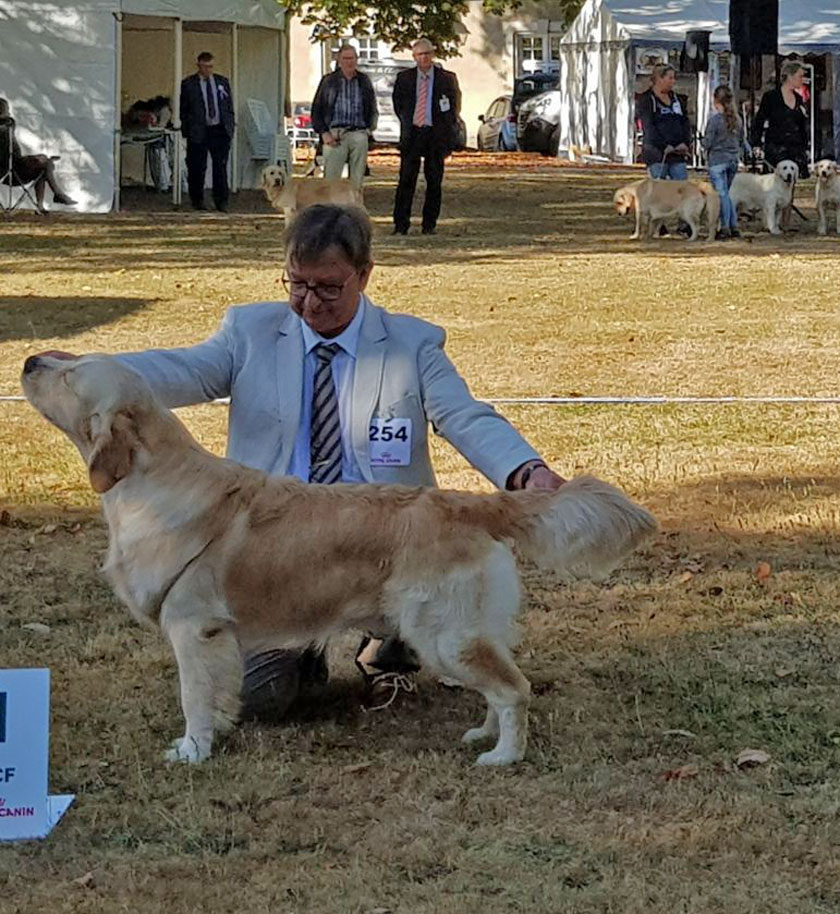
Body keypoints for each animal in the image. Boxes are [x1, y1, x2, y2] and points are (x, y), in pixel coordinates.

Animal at [21, 352, 656, 764]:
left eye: (70, 373)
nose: (28, 360)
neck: (150, 482)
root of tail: (472, 502)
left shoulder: (193, 626)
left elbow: (193, 697)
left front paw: (192, 750)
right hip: (463, 632)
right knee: (498, 687)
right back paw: (484, 735)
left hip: (443, 633)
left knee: (514, 689)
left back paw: (503, 756)